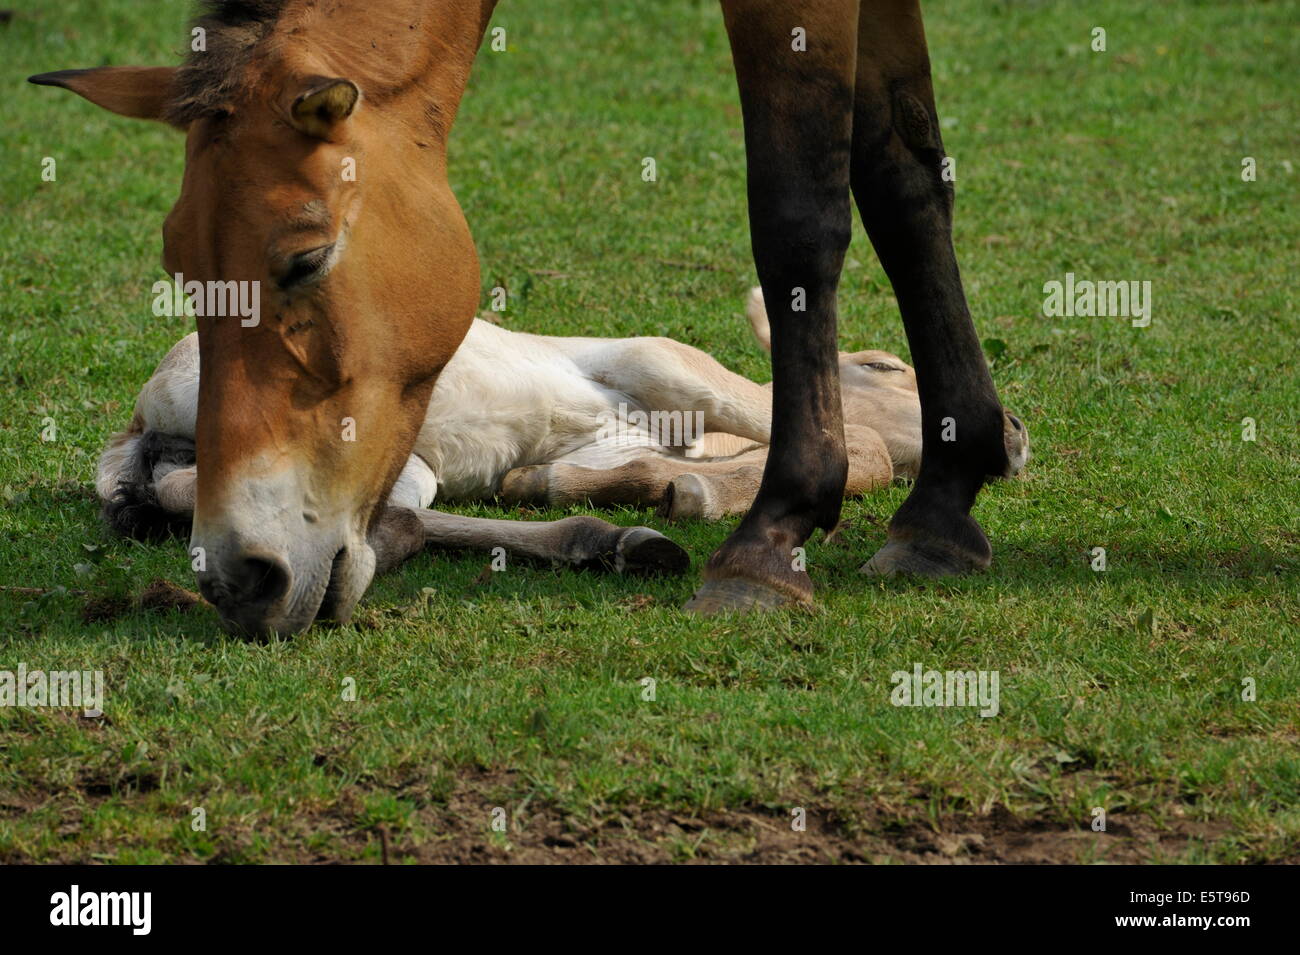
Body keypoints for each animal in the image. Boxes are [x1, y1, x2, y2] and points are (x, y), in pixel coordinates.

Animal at [31, 0, 1014, 634]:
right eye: (178, 269)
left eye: (300, 260)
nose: (242, 576)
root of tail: (136, 427)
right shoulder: (658, 360)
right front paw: (763, 539)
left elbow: (902, 172)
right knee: (391, 528)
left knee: (397, 524)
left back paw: (613, 537)